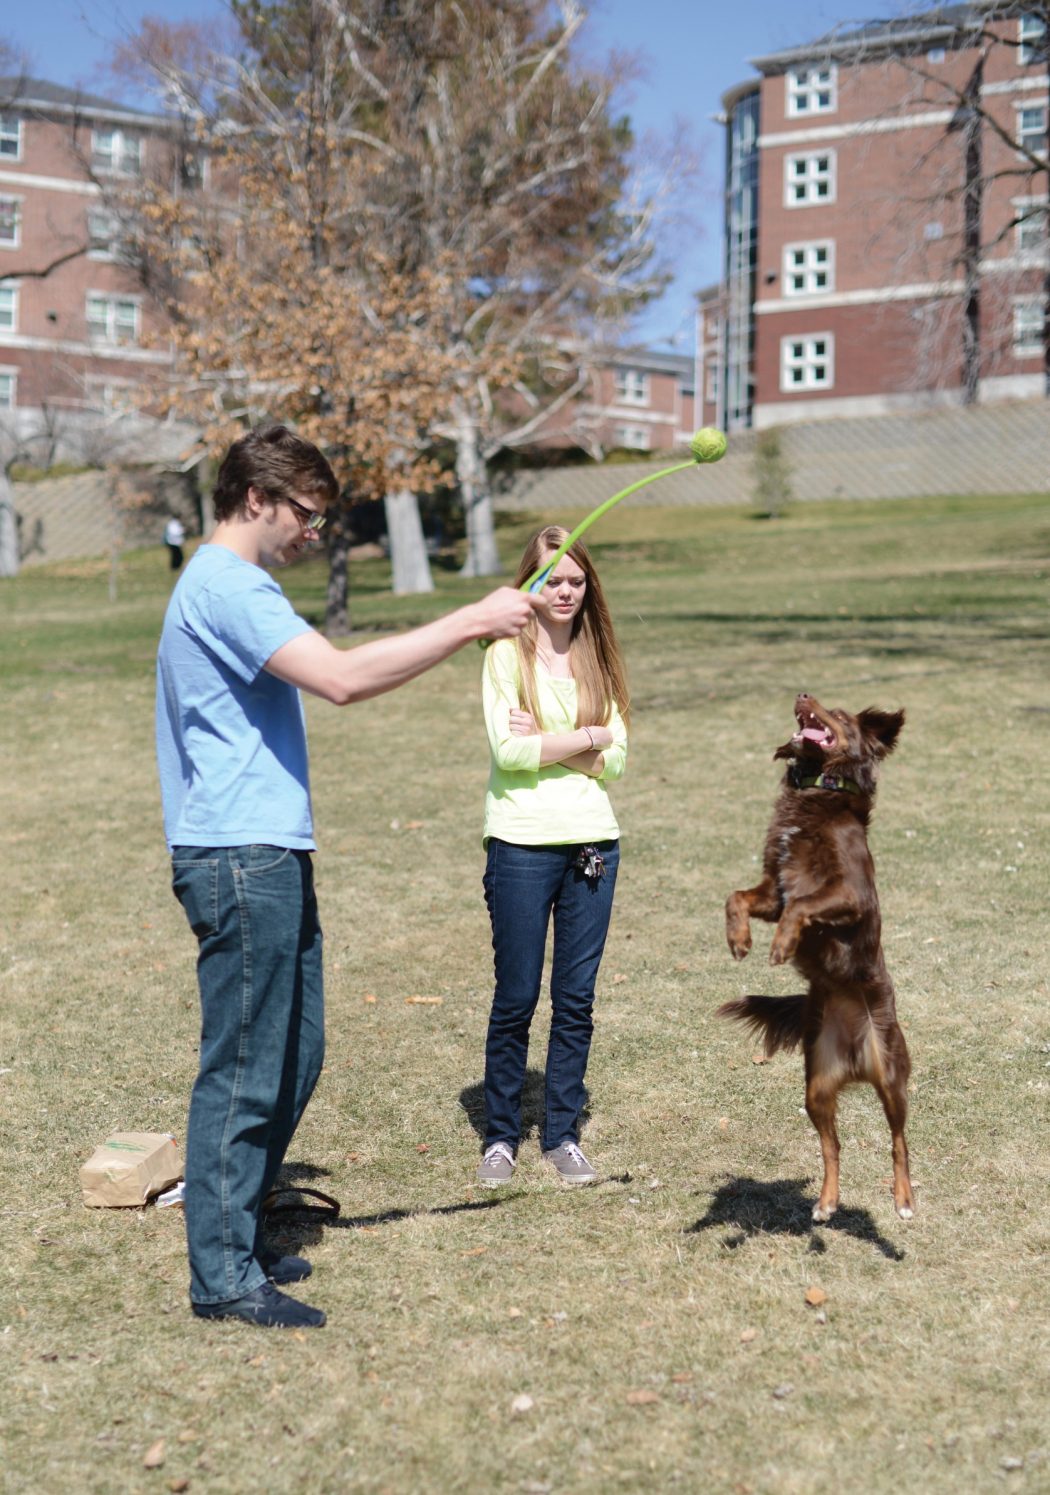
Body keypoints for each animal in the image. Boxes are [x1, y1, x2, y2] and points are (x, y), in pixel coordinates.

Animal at [720, 693, 915, 1219]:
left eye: (841, 715)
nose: (803, 695)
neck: (819, 791)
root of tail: (855, 1060)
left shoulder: (849, 895)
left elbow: (803, 908)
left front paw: (781, 945)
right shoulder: (774, 890)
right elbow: (736, 897)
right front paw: (739, 940)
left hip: (891, 1077)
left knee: (899, 1140)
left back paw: (904, 1198)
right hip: (816, 1087)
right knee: (833, 1146)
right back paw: (827, 1202)